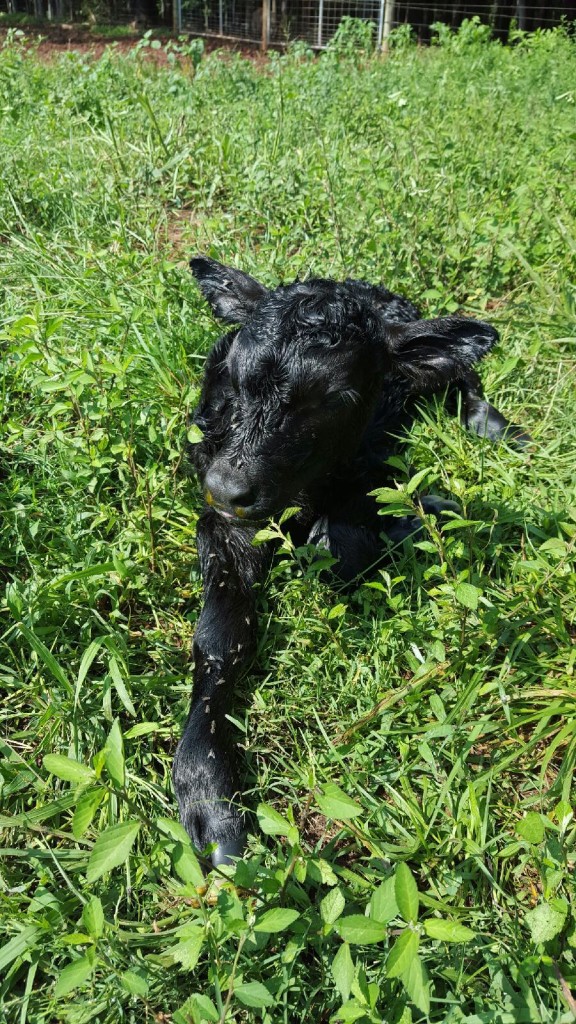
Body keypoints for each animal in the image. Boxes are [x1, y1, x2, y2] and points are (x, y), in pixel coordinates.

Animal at [171, 258, 524, 864]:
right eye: (235, 376)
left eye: (334, 398)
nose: (225, 486)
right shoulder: (225, 518)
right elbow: (220, 637)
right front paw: (209, 796)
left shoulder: (370, 466)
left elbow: (344, 544)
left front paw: (425, 512)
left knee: (465, 376)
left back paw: (500, 430)